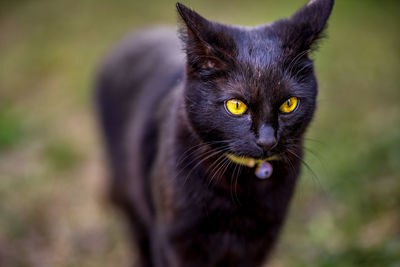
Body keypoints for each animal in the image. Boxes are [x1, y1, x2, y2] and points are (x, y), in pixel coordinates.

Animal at [96, 1, 334, 266]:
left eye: (289, 104)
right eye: (236, 106)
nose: (267, 140)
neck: (239, 190)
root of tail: (133, 36)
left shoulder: (260, 242)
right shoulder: (175, 241)